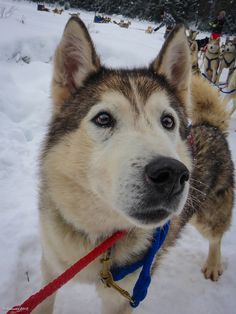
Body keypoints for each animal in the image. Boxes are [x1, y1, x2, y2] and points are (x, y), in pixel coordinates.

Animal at [37, 17, 234, 314]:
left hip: (208, 215)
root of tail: (211, 127)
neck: (98, 240)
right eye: (103, 118)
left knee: (216, 236)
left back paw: (213, 264)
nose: (172, 174)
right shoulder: (50, 270)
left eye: (168, 121)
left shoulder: (123, 296)